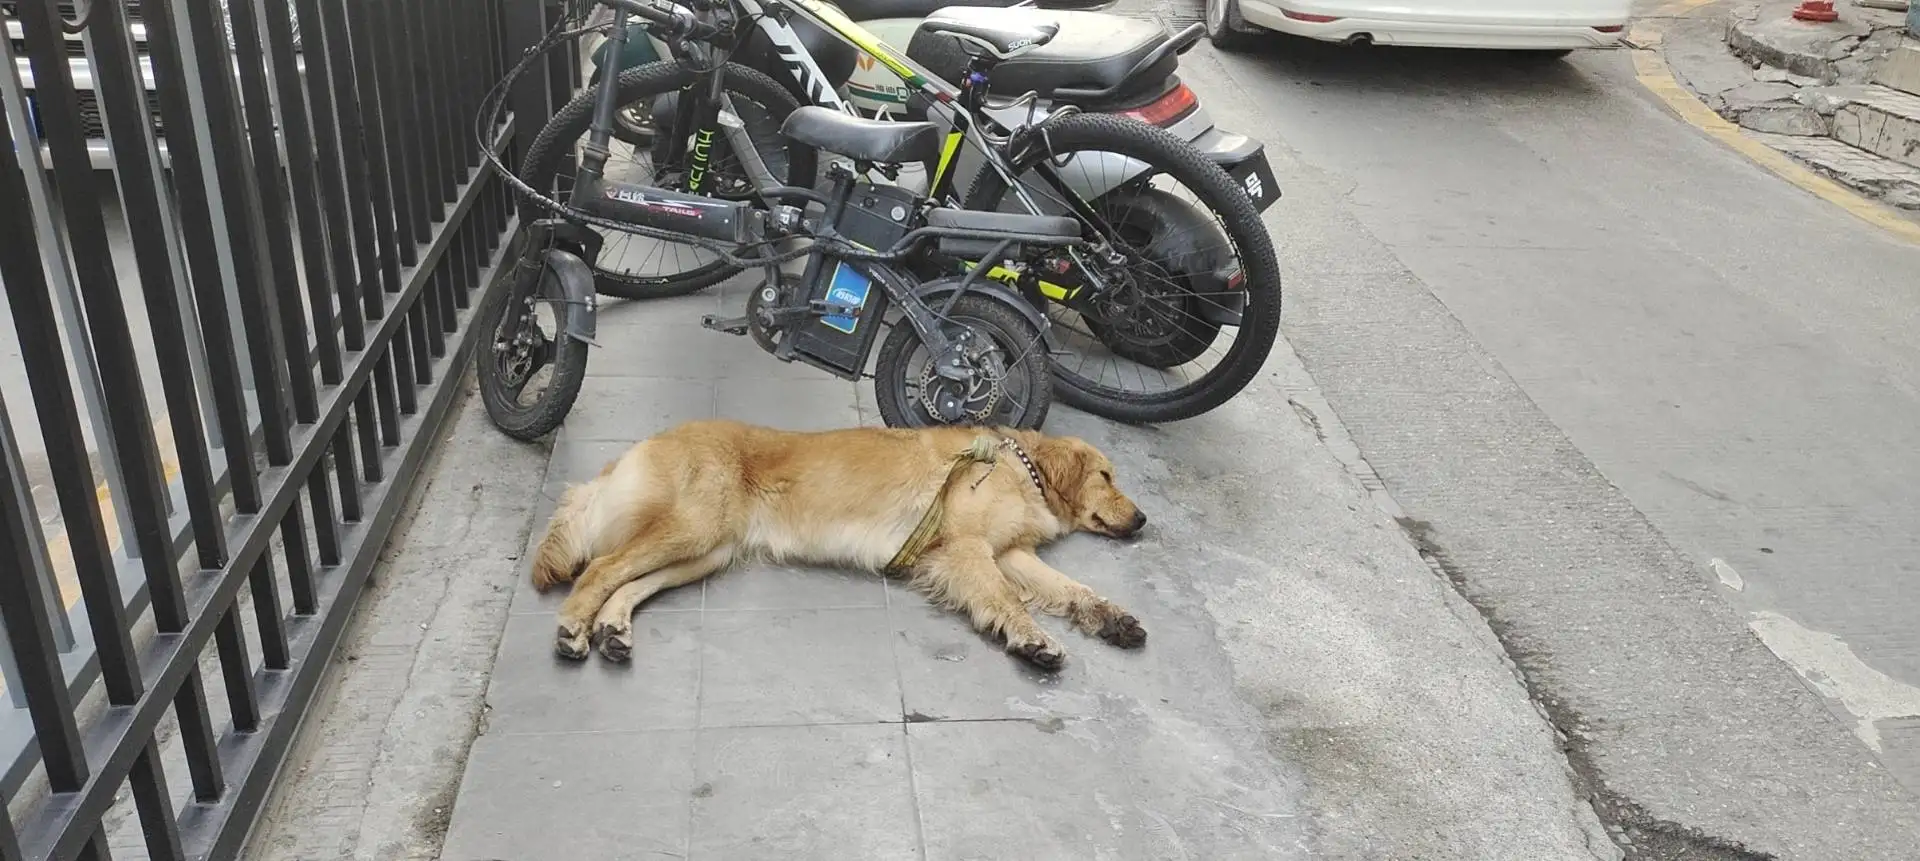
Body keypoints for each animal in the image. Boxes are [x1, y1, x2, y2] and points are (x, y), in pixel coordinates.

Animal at [533, 420, 1144, 668]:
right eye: (1107, 476)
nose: (1142, 520)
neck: (1021, 467)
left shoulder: (1011, 553)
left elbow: (1072, 588)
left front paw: (1113, 619)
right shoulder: (967, 549)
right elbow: (1008, 601)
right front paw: (1033, 640)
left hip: (705, 551)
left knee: (625, 581)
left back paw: (613, 630)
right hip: (692, 528)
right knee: (599, 568)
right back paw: (573, 629)